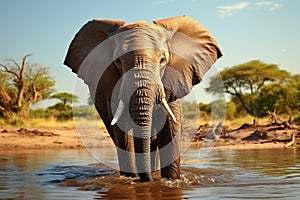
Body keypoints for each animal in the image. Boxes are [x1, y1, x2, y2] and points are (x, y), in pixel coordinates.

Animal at [63, 15, 223, 181]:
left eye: (163, 60)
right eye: (118, 61)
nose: (149, 180)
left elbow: (170, 128)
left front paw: (170, 180)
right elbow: (124, 132)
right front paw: (132, 179)